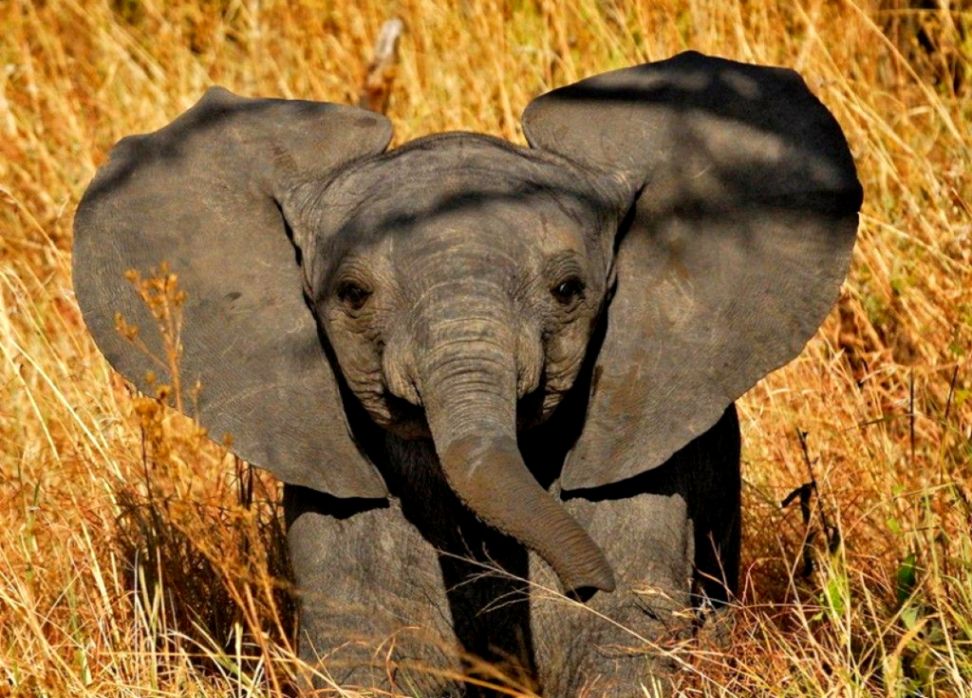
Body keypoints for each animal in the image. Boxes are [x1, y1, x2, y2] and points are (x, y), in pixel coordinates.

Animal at [72, 51, 862, 696]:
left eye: (568, 290)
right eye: (352, 296)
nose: (590, 578)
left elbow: (604, 649)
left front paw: (608, 611)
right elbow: (373, 648)